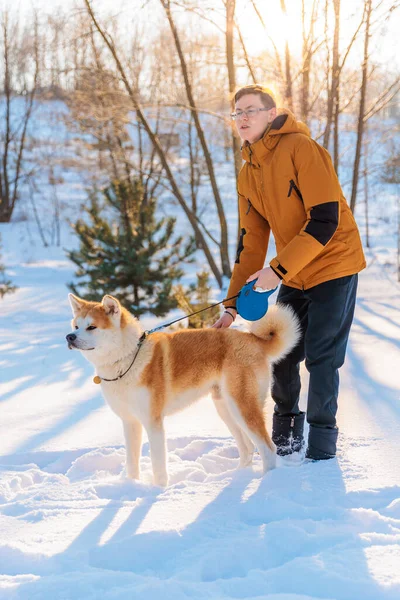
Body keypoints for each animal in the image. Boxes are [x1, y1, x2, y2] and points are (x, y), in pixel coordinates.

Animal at [65, 292, 298, 486]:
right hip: (226, 408)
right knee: (248, 448)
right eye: (76, 326)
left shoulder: (153, 422)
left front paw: (158, 491)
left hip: (242, 407)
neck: (129, 357)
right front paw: (131, 486)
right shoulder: (130, 422)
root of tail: (254, 340)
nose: (69, 337)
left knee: (268, 448)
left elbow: (158, 464)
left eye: (91, 327)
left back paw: (265, 483)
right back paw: (236, 477)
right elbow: (132, 462)